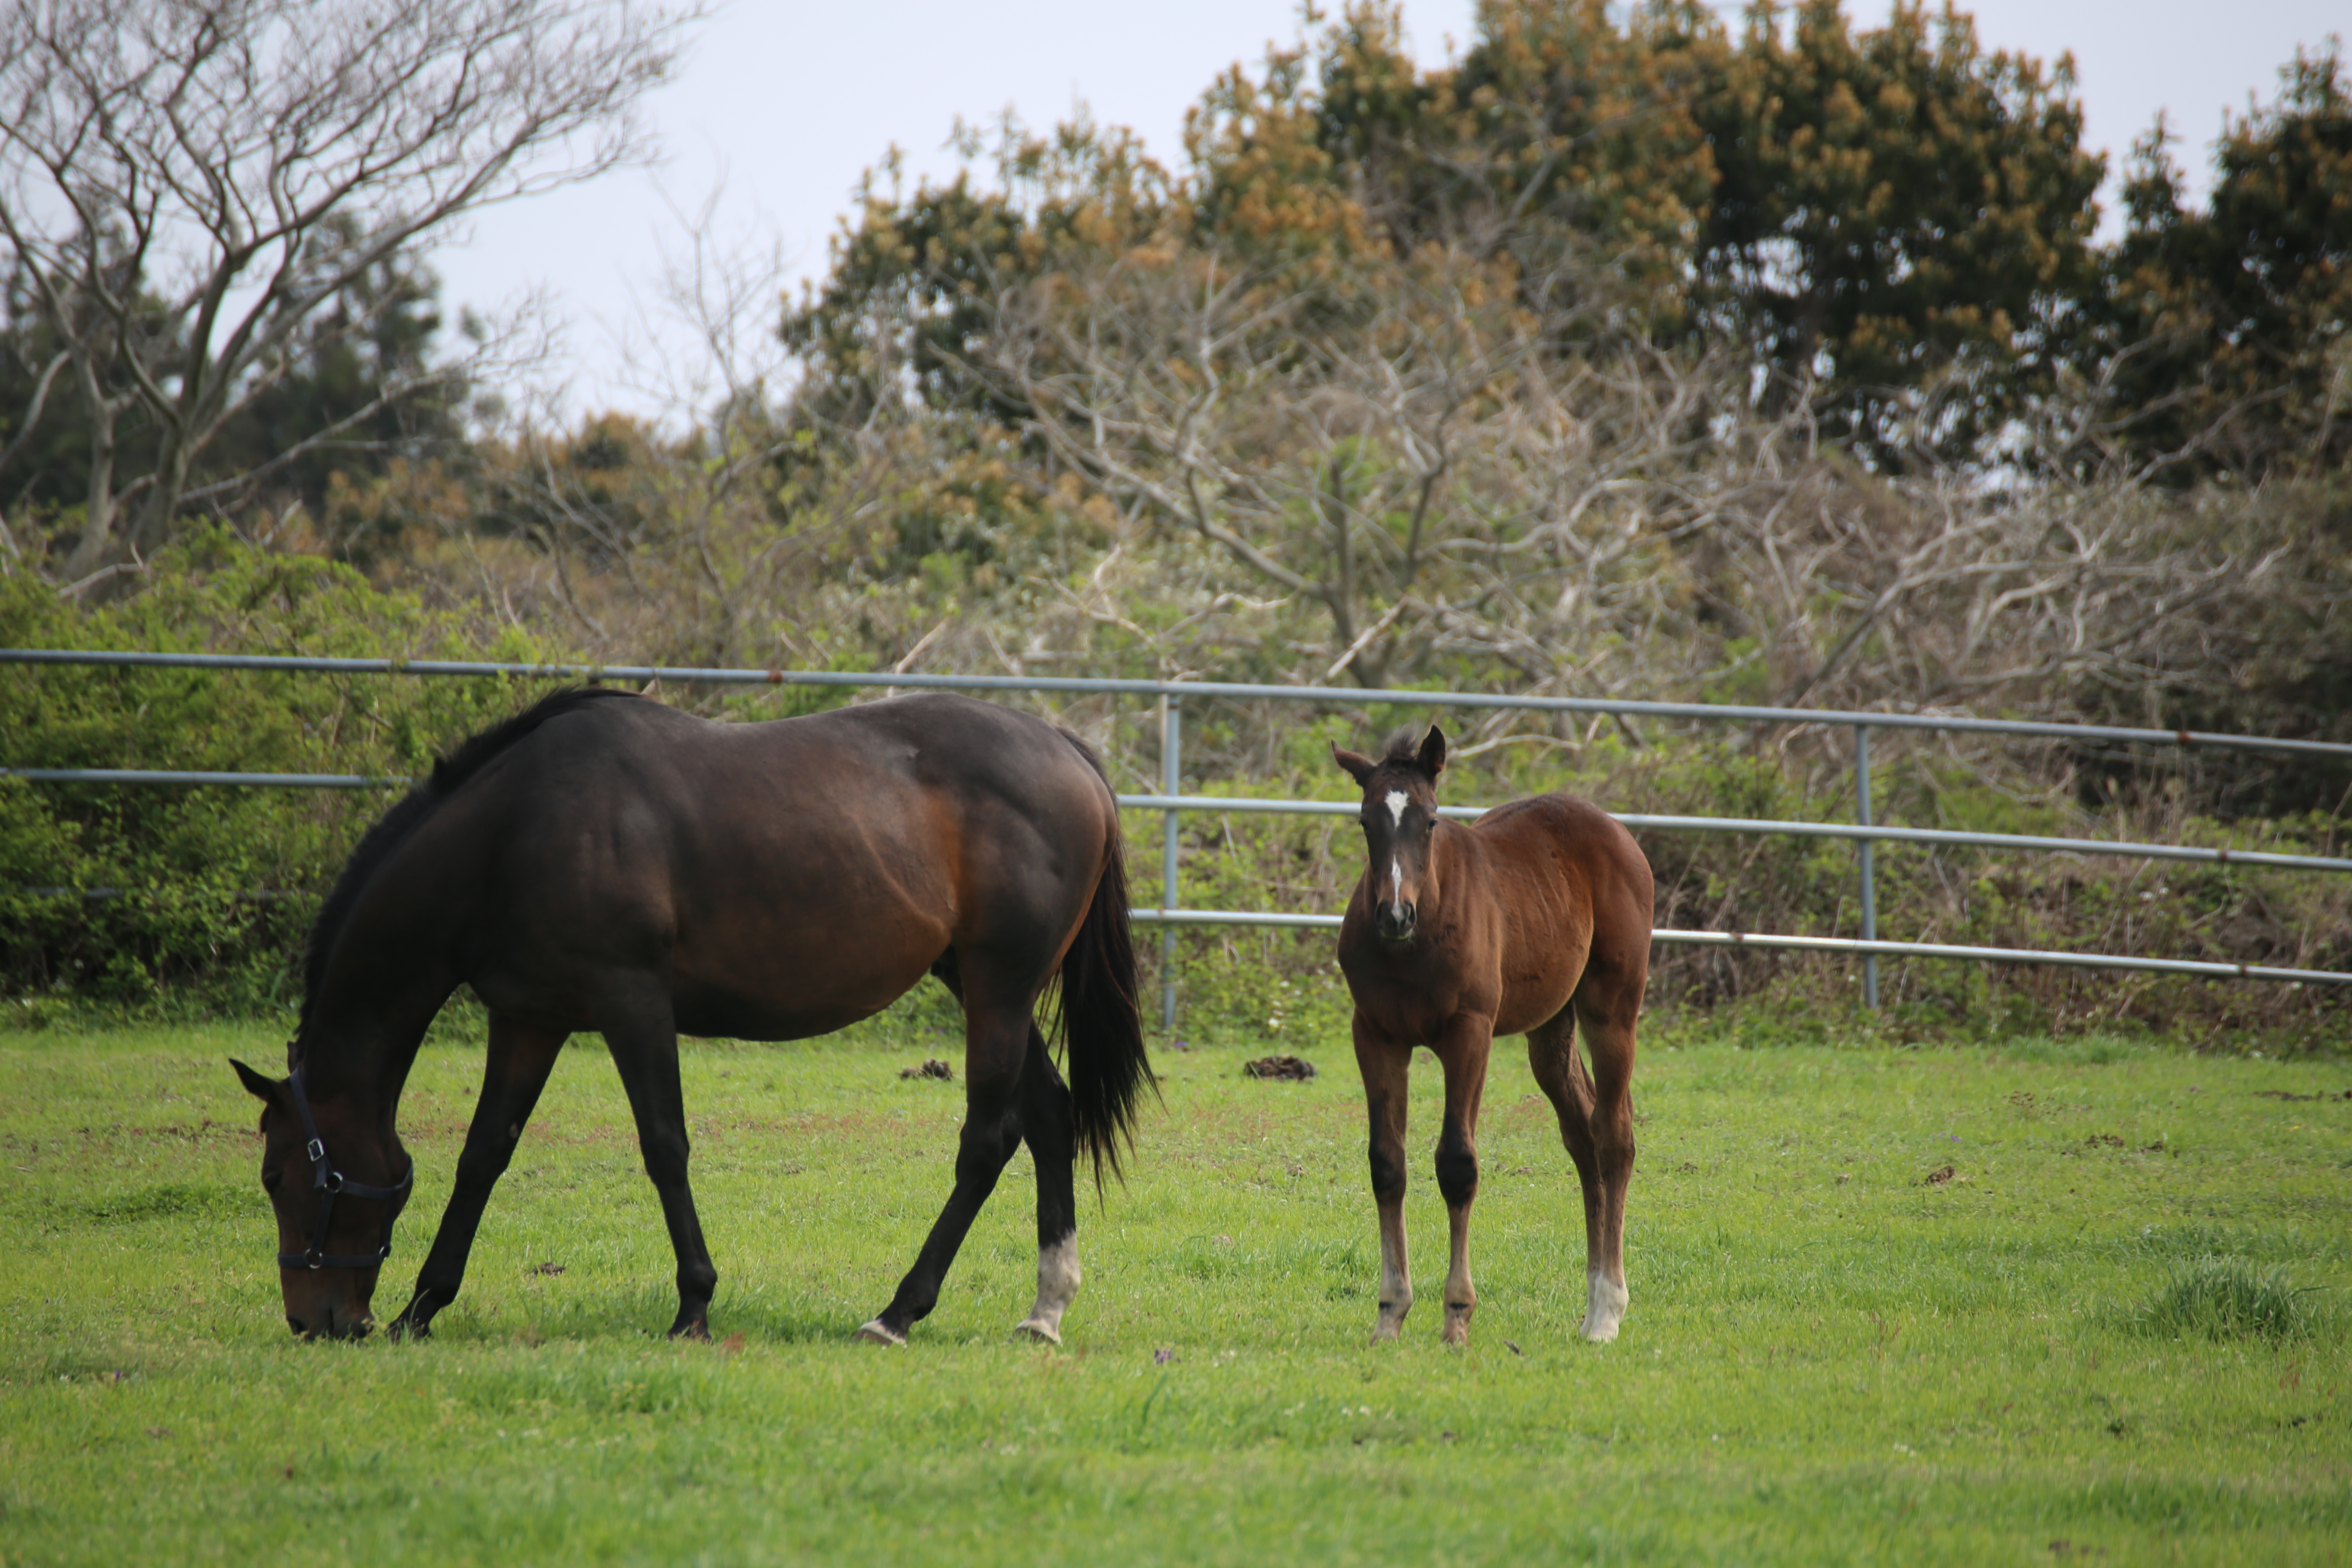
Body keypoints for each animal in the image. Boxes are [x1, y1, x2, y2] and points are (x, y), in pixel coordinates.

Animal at [234, 691, 1152, 1345]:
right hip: (977, 981)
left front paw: (694, 1307)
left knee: (988, 1141)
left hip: (999, 987)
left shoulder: (632, 1000)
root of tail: (1069, 753)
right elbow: (483, 1155)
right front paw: (423, 1308)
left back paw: (897, 1313)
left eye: (278, 1177)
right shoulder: (529, 1019)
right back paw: (1044, 1311)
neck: (514, 831)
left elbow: (664, 1145)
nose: (316, 1321)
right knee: (1050, 1115)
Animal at [1345, 728, 1656, 1354]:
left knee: (1614, 1136)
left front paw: (1457, 1319)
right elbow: (1387, 1165)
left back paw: (1607, 1313)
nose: (1394, 915)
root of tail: (1616, 834)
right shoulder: (1376, 1035)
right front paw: (1390, 1315)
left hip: (1611, 1010)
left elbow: (1457, 1166)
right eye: (1366, 821)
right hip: (1551, 1027)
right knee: (1583, 1136)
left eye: (1431, 821)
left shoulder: (1470, 1033)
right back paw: (1590, 1306)